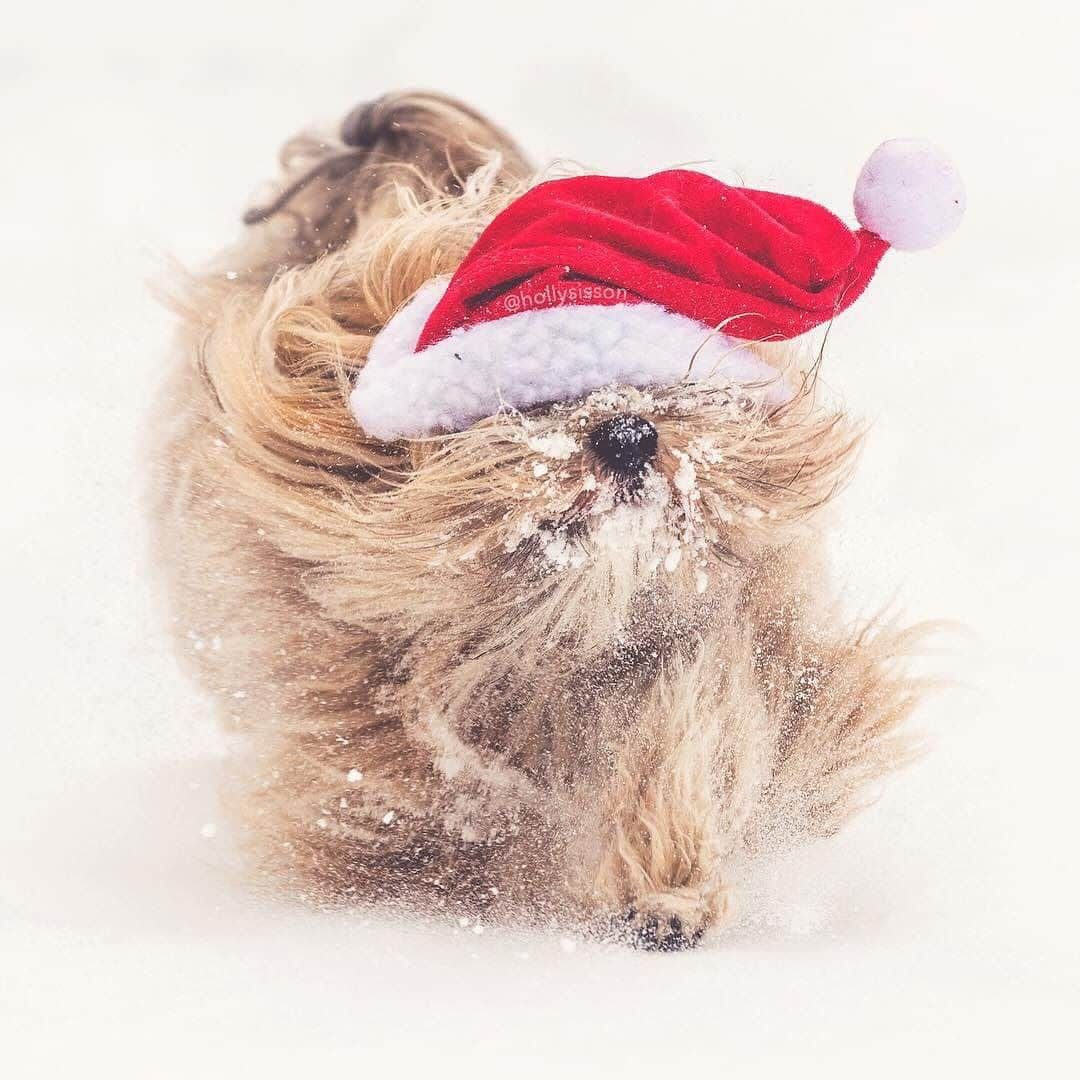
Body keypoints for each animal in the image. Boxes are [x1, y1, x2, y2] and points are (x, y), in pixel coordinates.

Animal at [152, 95, 963, 954]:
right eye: (527, 400)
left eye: (654, 382)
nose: (629, 435)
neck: (550, 632)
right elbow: (408, 781)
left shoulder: (725, 645)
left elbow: (694, 737)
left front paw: (667, 889)